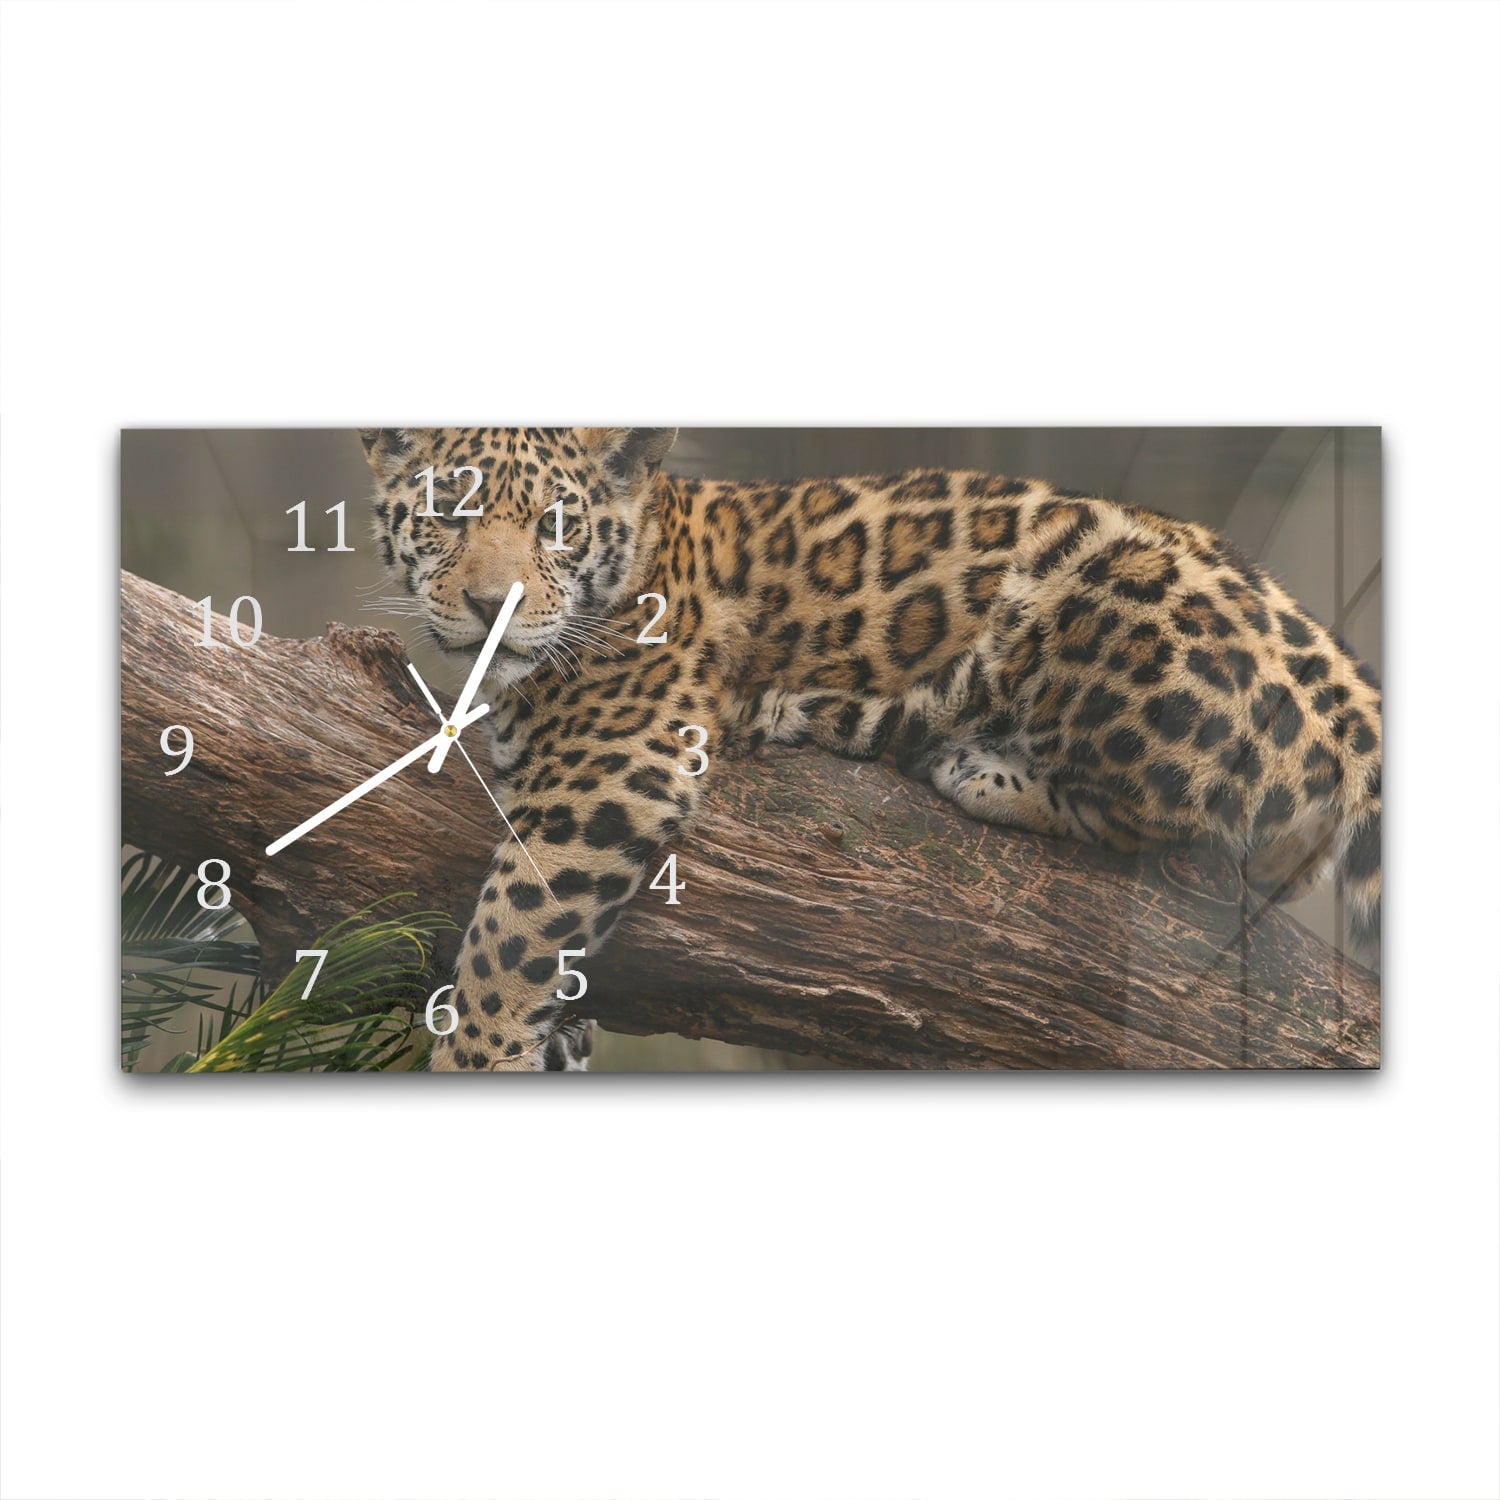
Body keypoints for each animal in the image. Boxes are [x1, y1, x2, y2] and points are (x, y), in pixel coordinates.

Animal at [362, 427, 1383, 1071]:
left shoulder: (618, 762)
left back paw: (968, 762)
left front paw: (475, 1057)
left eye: (556, 526)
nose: (492, 606)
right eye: (446, 516)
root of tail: (1355, 694)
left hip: (1094, 582)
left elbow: (511, 928)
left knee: (1194, 821)